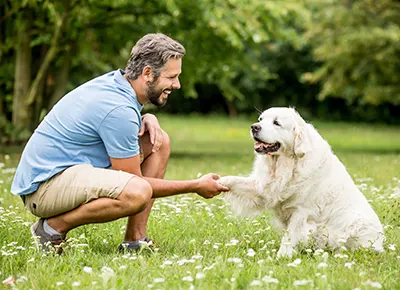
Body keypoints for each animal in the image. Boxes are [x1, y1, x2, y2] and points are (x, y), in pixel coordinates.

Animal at [219, 107, 384, 258]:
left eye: (276, 123)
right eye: (260, 119)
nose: (254, 127)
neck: (287, 164)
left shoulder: (301, 211)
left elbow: (289, 236)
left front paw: (282, 257)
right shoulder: (263, 188)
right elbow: (233, 180)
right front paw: (218, 182)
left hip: (354, 224)